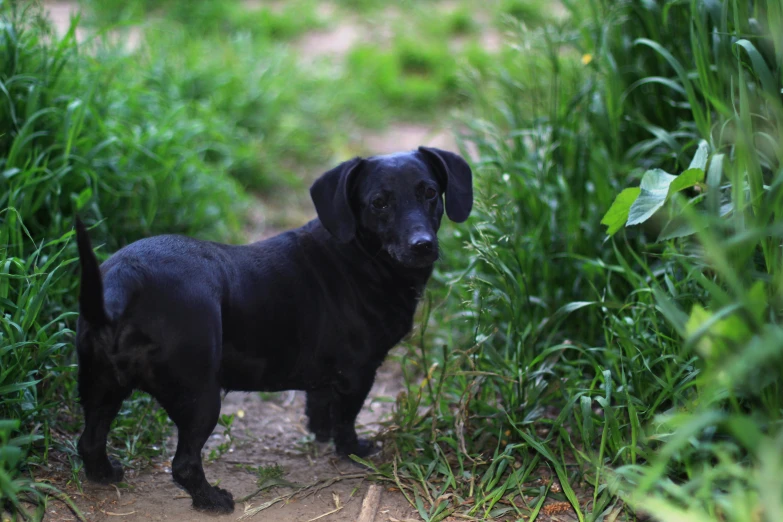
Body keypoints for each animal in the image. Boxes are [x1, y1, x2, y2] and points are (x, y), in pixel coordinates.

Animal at [75, 146, 472, 512]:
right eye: (378, 203)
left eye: (430, 192)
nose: (422, 245)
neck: (362, 258)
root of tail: (123, 282)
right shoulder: (358, 373)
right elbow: (346, 420)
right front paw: (356, 451)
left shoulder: (327, 378)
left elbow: (320, 409)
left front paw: (320, 434)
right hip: (200, 396)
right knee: (183, 464)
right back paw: (213, 500)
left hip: (101, 388)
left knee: (89, 442)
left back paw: (106, 474)